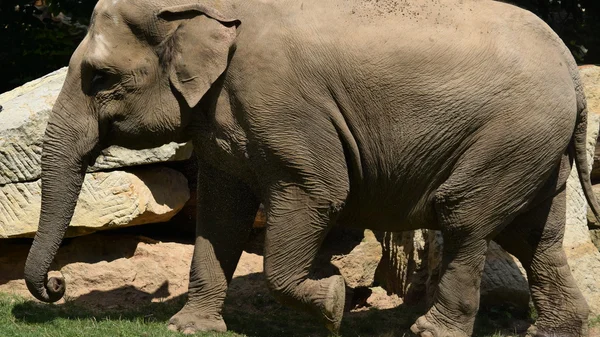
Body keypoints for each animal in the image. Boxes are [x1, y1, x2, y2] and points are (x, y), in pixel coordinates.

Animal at [23, 0, 600, 334]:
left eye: (100, 78)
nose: (56, 286)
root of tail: (572, 70)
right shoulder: (224, 116)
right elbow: (221, 214)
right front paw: (187, 328)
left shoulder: (282, 107)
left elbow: (318, 192)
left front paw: (334, 301)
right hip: (536, 149)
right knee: (537, 235)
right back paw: (553, 331)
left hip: (509, 136)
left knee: (465, 218)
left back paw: (430, 332)